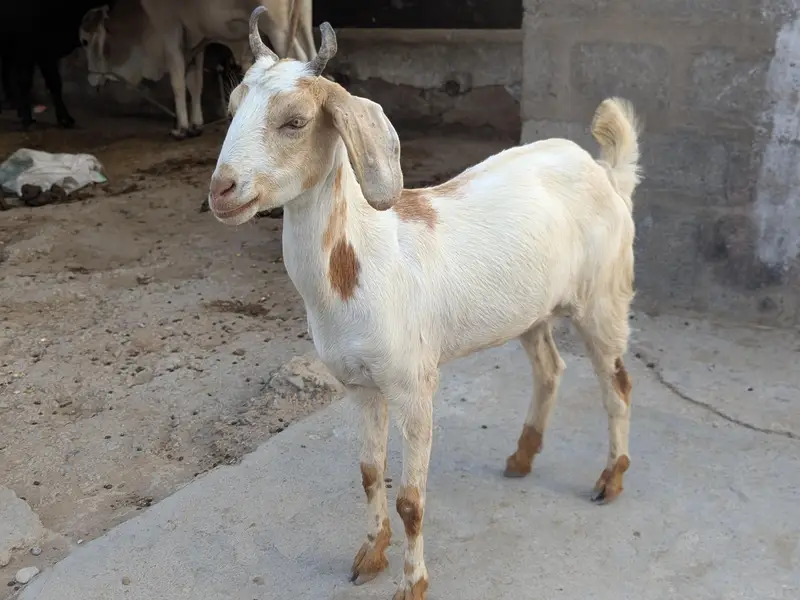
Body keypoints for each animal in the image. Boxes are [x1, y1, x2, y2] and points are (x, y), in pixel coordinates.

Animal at [208, 9, 642, 599]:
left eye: (294, 121)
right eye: (232, 108)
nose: (221, 190)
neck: (359, 266)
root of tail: (605, 172)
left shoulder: (414, 385)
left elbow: (411, 500)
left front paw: (412, 583)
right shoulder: (359, 385)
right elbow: (369, 473)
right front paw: (370, 556)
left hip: (603, 298)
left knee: (616, 383)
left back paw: (610, 479)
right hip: (530, 309)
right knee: (550, 367)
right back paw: (522, 457)